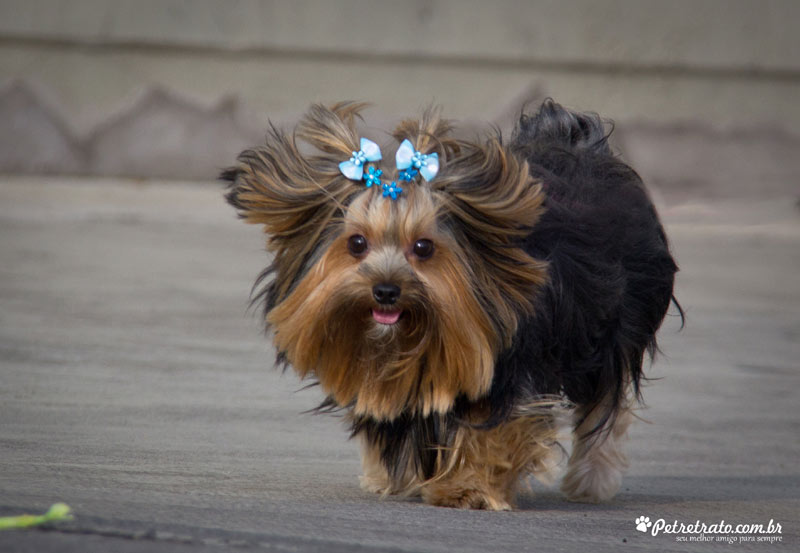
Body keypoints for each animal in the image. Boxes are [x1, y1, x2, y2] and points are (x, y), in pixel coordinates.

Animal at [222, 98, 680, 508]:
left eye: (424, 247)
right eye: (356, 243)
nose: (385, 290)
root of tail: (578, 142)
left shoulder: (508, 370)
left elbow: (490, 428)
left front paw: (467, 488)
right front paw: (391, 477)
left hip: (609, 326)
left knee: (606, 403)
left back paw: (592, 481)